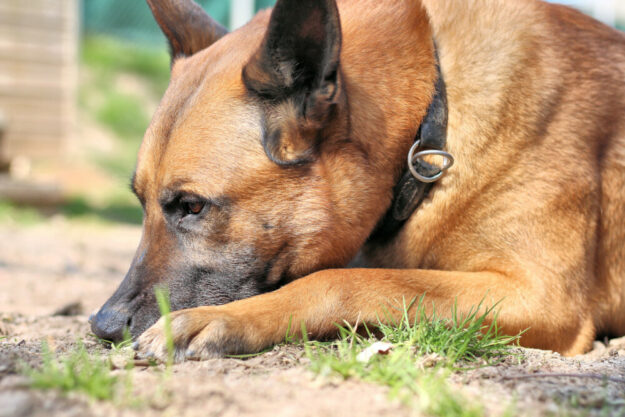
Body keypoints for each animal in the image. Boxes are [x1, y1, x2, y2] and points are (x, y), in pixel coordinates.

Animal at [90, 0, 624, 360]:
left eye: (192, 206)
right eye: (140, 202)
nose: (103, 325)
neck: (430, 126)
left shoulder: (540, 295)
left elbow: (344, 280)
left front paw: (222, 319)